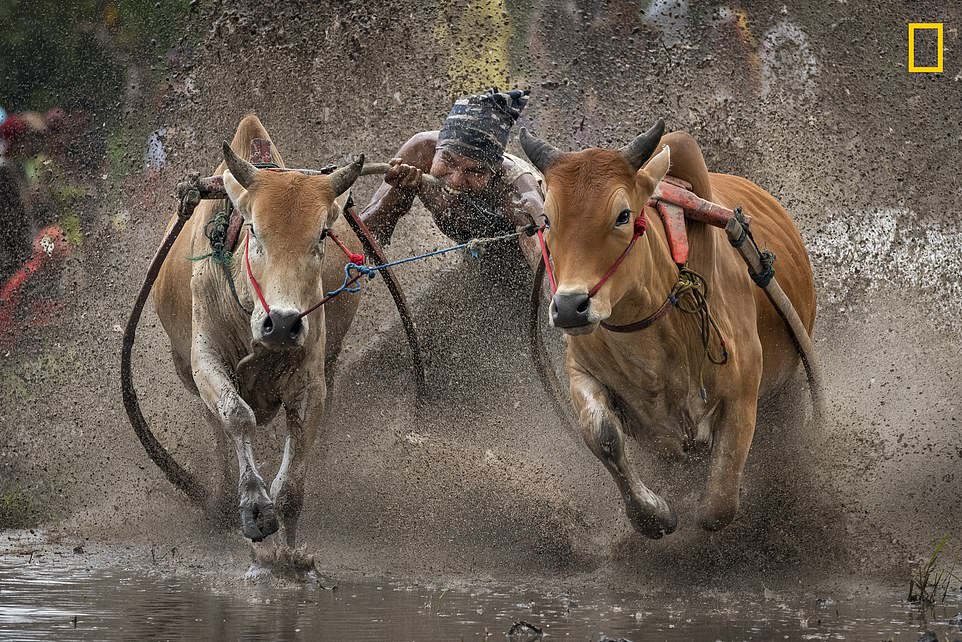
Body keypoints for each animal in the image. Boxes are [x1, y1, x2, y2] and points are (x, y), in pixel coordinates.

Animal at [154, 114, 364, 540]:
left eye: (321, 234)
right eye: (253, 230)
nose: (282, 324)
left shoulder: (311, 381)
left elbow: (292, 486)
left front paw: (285, 543)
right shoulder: (205, 359)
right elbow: (236, 415)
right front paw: (253, 504)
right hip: (185, 368)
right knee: (217, 427)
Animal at [520, 120, 812, 536]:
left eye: (623, 215)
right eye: (547, 220)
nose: (570, 308)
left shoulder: (742, 391)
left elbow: (717, 507)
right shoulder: (581, 370)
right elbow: (602, 435)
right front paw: (654, 513)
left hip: (788, 389)